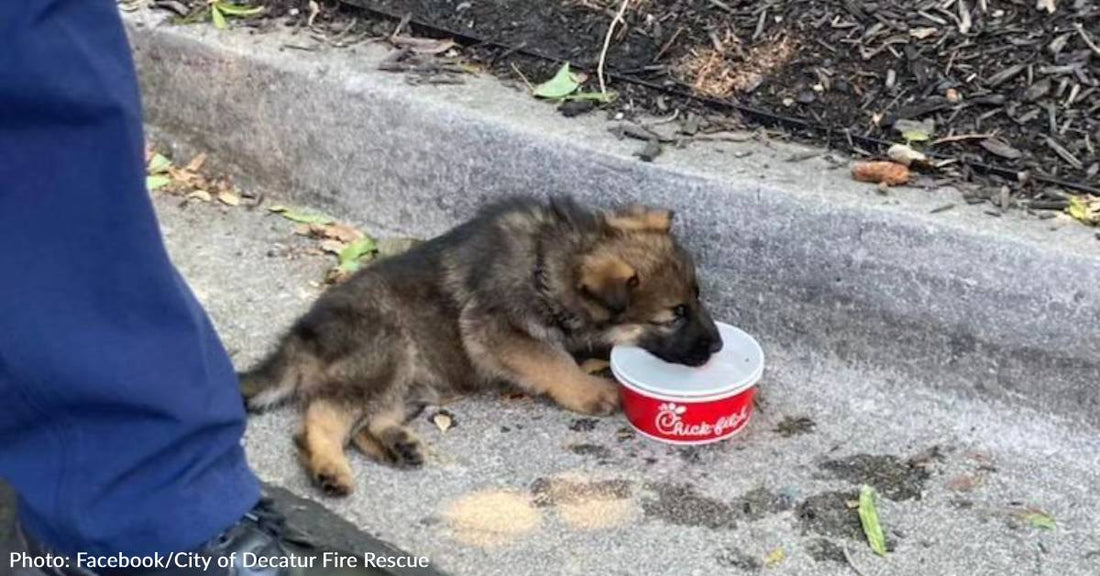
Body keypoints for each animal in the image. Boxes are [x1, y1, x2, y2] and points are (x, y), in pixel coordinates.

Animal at [240, 197, 721, 494]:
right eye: (675, 314)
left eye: (698, 298)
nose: (717, 346)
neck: (549, 265)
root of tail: (299, 337)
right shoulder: (495, 331)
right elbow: (552, 359)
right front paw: (591, 391)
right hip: (385, 352)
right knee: (322, 417)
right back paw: (329, 468)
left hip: (410, 380)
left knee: (365, 422)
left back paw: (397, 445)